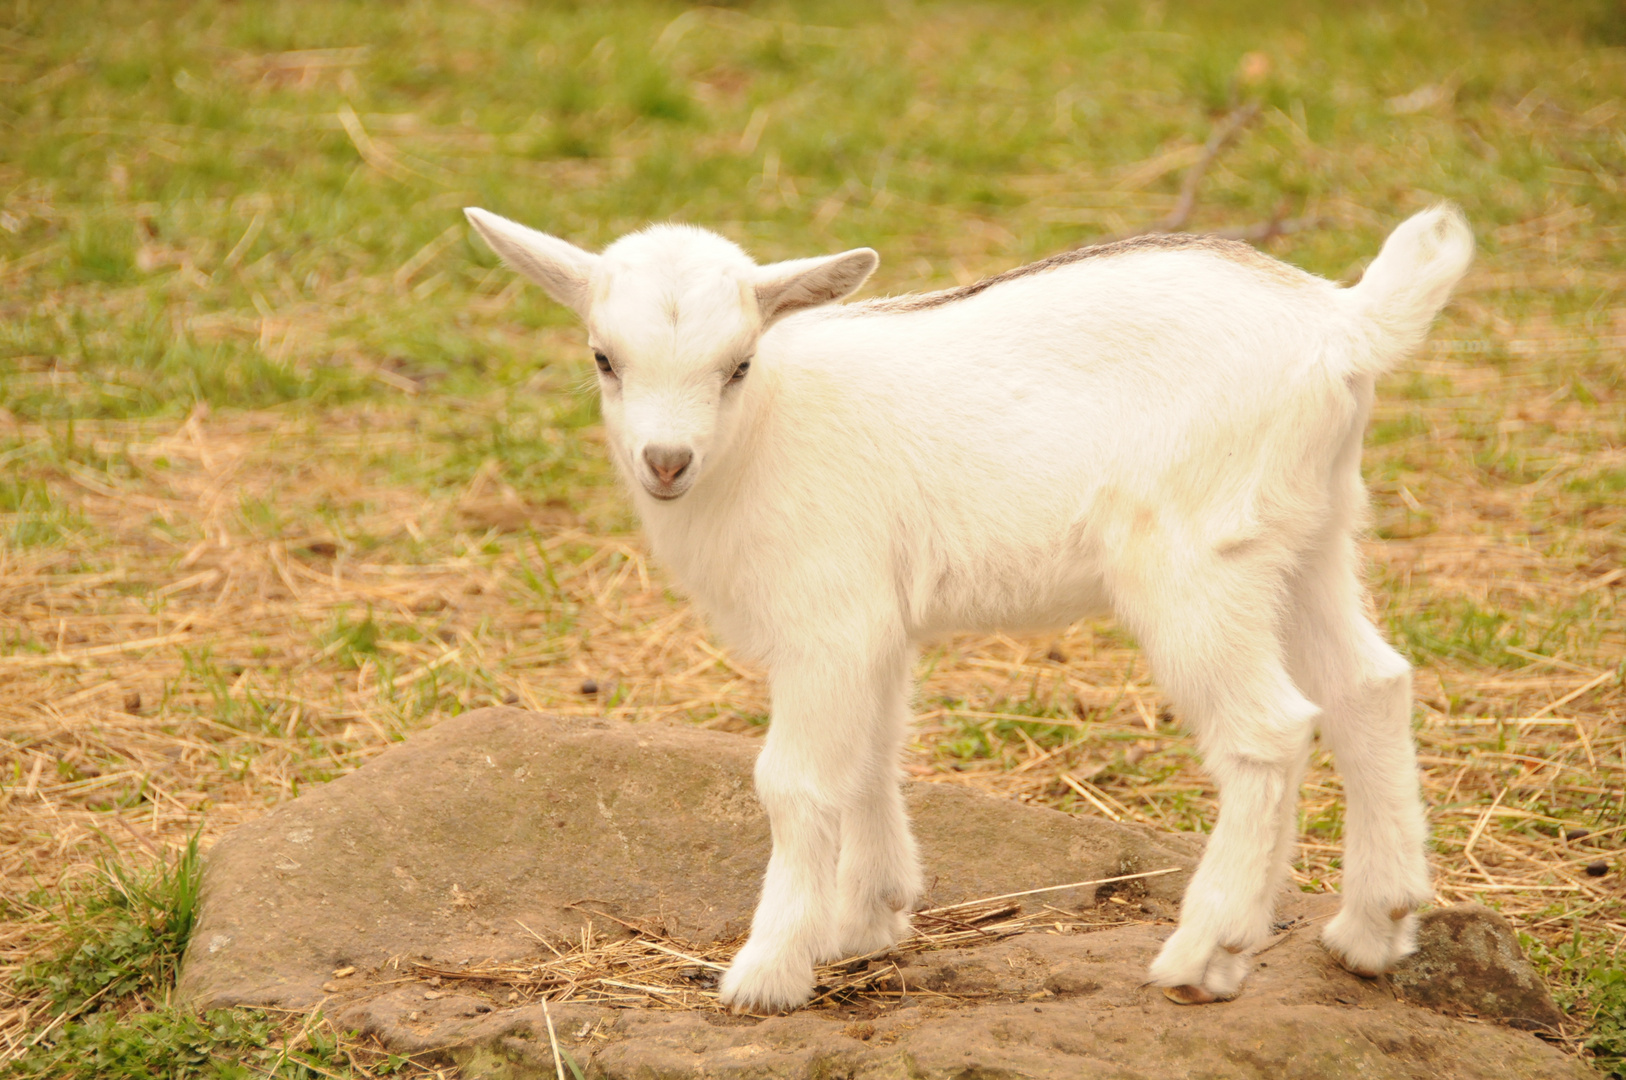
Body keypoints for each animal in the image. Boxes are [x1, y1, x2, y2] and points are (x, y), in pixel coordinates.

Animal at [461, 202, 1476, 1014]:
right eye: (604, 359)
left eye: (739, 364)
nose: (666, 461)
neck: (761, 439)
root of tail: (1348, 321)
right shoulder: (875, 623)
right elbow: (871, 756)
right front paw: (868, 917)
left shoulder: (828, 617)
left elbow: (795, 781)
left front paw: (769, 973)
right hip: (1309, 531)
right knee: (1370, 685)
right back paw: (1373, 929)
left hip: (1198, 557)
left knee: (1268, 729)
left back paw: (1204, 954)